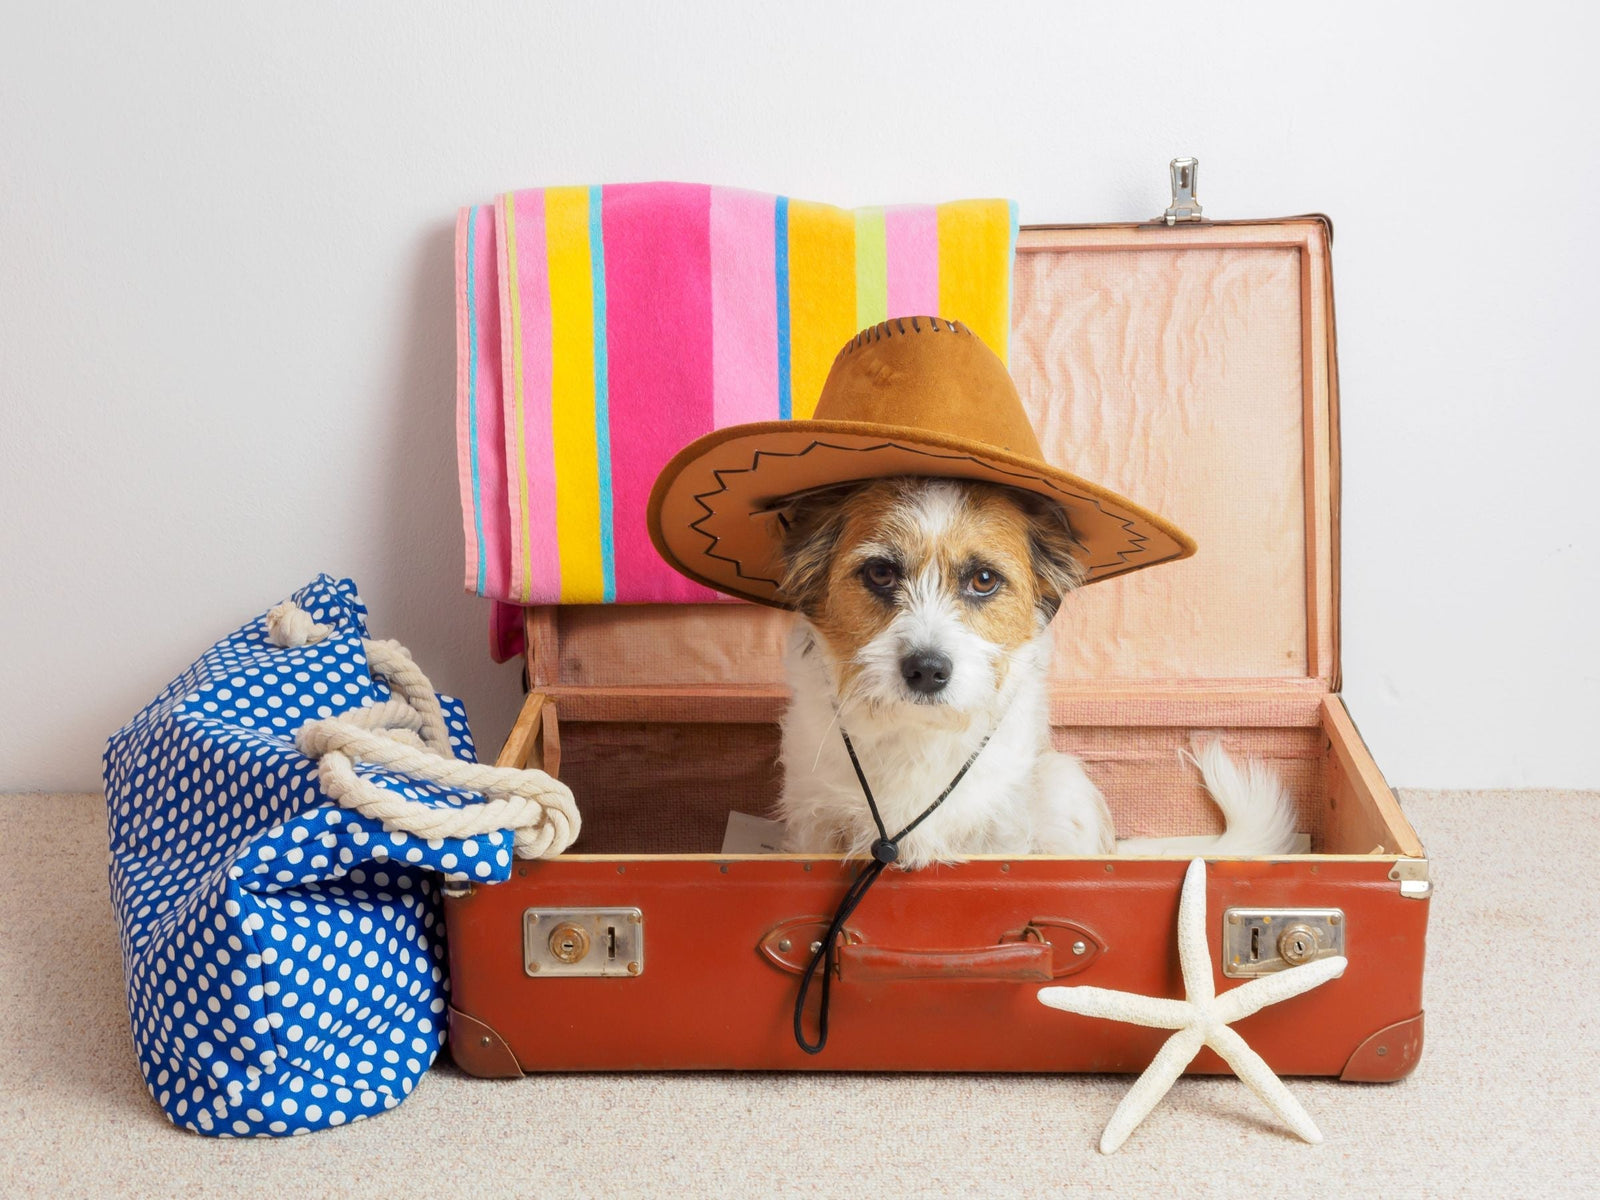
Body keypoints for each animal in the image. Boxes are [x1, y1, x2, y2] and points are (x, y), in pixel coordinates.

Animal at [771, 473, 1299, 870]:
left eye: (983, 579)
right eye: (880, 573)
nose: (926, 670)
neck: (918, 734)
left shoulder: (1001, 831)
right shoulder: (816, 823)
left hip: (1064, 787)